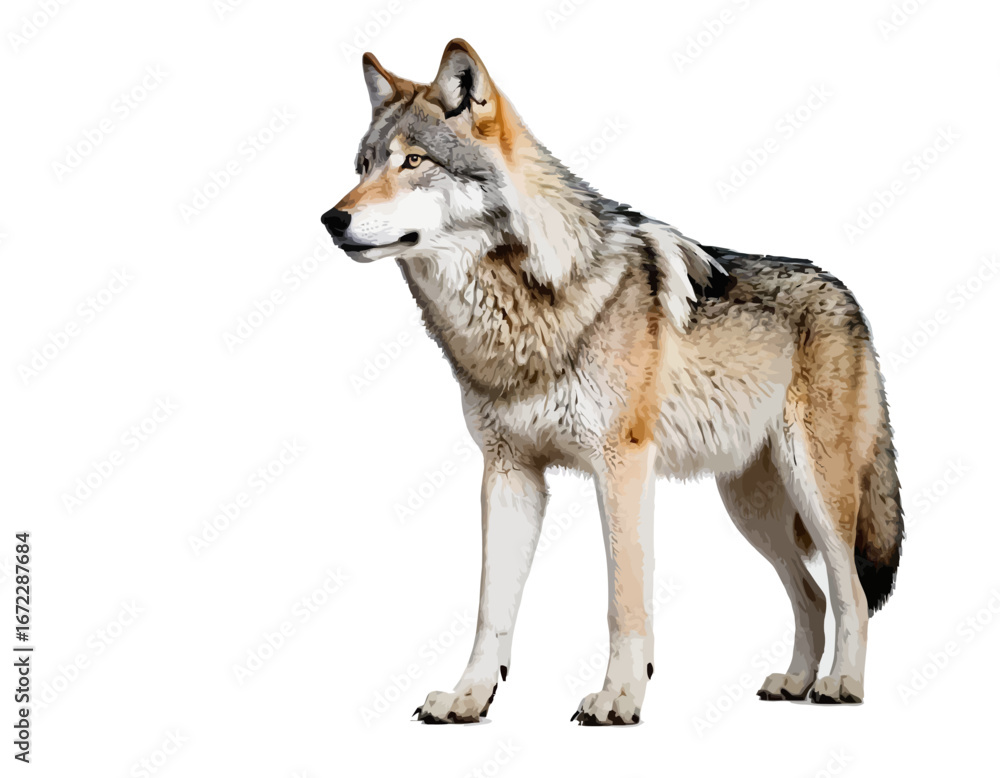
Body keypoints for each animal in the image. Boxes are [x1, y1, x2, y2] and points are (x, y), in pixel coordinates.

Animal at [321, 39, 903, 725]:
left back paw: (841, 686)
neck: (524, 309)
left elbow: (624, 599)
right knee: (810, 595)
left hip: (816, 490)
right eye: (362, 166)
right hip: (751, 509)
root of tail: (848, 295)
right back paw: (793, 682)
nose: (332, 218)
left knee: (851, 592)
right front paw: (468, 698)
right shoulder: (508, 472)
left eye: (413, 160)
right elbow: (491, 610)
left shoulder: (621, 466)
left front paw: (619, 697)